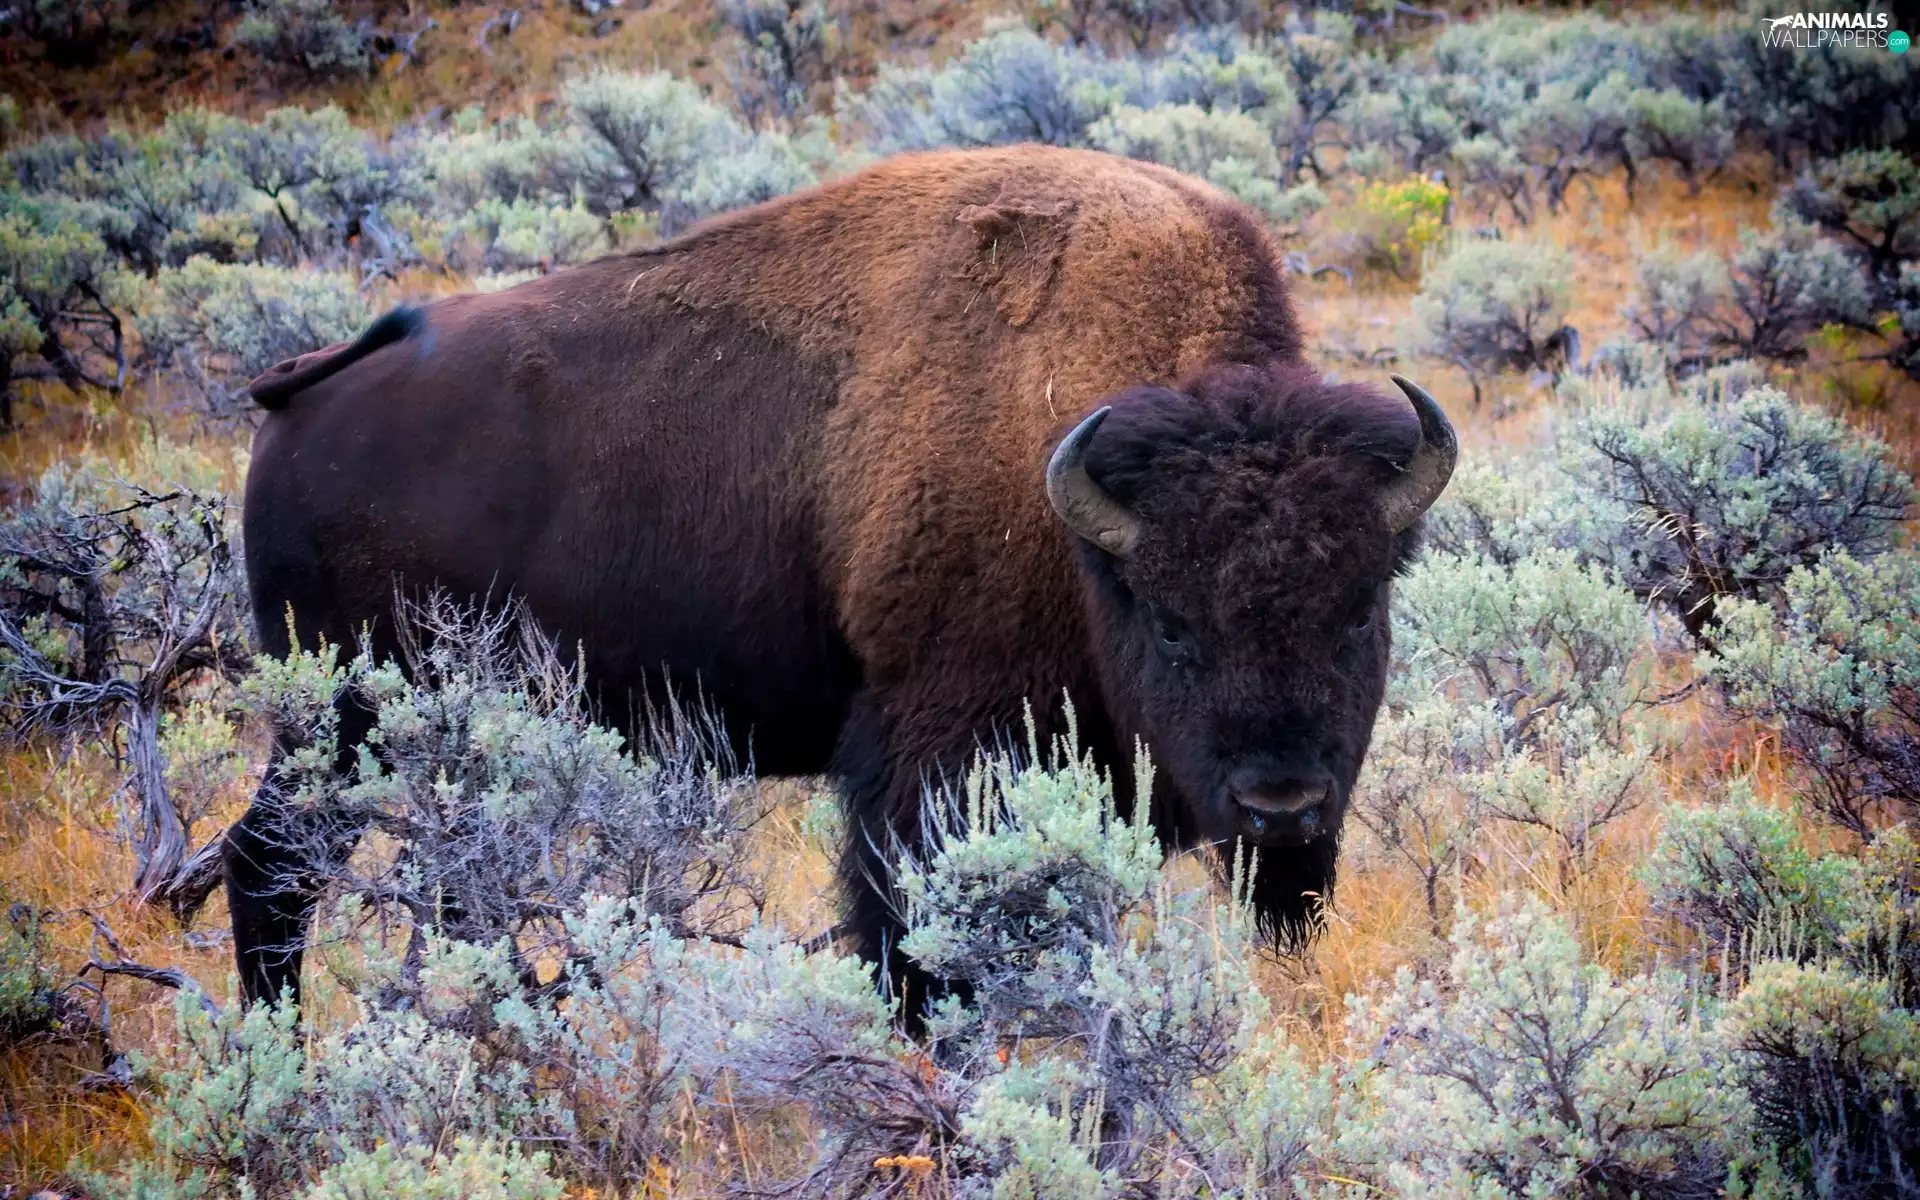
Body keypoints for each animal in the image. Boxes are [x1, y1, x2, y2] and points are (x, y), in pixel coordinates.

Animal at [226, 144, 1457, 1019]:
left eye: (1359, 610)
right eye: (1170, 625)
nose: (1279, 806)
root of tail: (305, 395)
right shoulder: (930, 757)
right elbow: (910, 942)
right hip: (346, 718)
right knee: (268, 866)